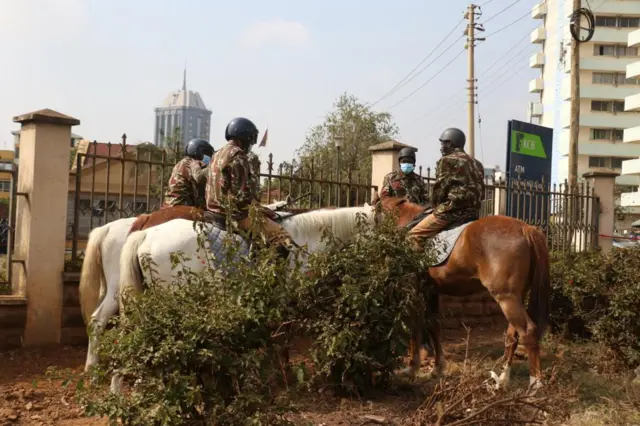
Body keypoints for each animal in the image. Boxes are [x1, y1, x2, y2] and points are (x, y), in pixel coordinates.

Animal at [380, 196, 552, 390]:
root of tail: (526, 229)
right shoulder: (430, 291)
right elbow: (433, 324)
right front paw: (437, 369)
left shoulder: (414, 291)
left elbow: (414, 325)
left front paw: (412, 368)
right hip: (516, 297)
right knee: (512, 336)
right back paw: (502, 378)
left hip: (506, 298)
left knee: (527, 331)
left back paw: (535, 383)